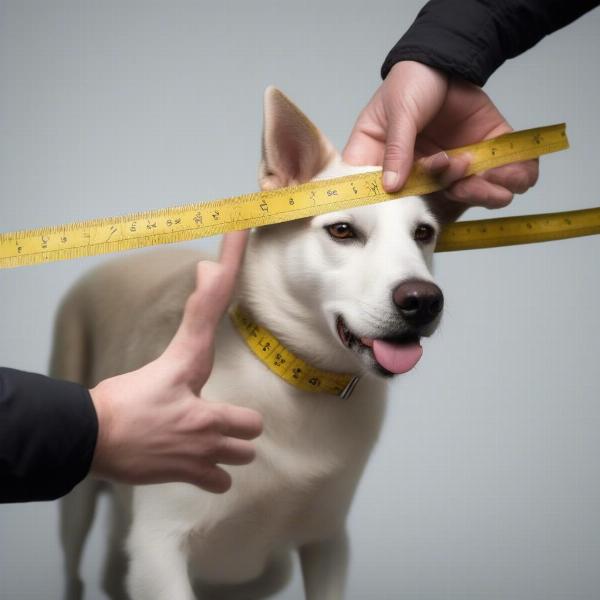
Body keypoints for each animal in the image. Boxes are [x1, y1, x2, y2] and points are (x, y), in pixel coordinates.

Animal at [55, 86, 460, 596]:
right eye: (342, 231)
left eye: (424, 233)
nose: (424, 301)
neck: (296, 378)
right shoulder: (158, 549)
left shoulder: (327, 541)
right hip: (76, 504)